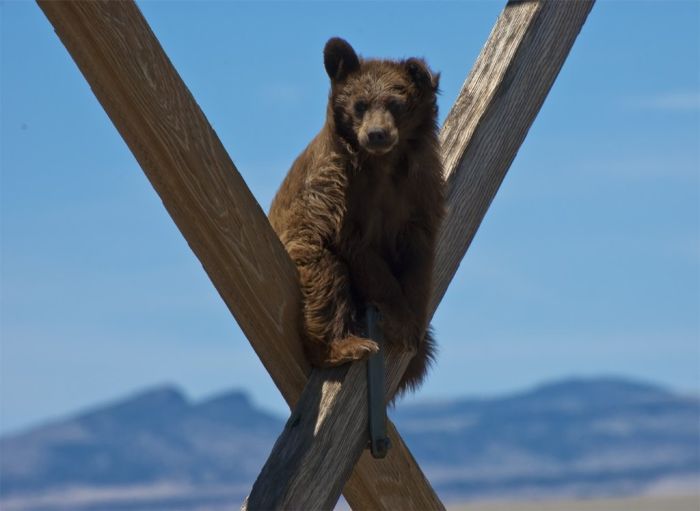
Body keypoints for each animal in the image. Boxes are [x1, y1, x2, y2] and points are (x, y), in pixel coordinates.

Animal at [268, 38, 442, 398]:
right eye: (360, 104)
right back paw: (347, 345)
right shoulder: (335, 191)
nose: (376, 134)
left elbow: (420, 255)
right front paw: (400, 321)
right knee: (326, 277)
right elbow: (355, 251)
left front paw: (413, 323)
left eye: (396, 103)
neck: (382, 166)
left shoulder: (419, 192)